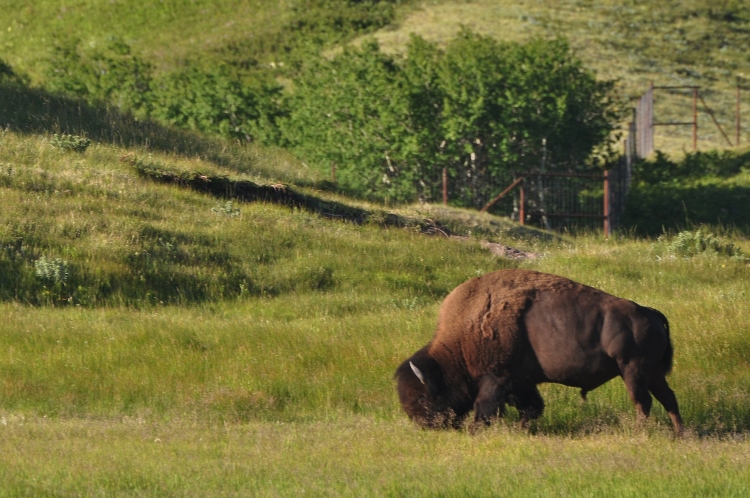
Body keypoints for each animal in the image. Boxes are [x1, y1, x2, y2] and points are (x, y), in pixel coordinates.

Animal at [400, 268, 688, 436]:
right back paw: (680, 434)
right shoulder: (521, 382)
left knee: (643, 402)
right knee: (668, 398)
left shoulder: (495, 379)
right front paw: (523, 430)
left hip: (633, 371)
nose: (423, 425)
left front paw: (476, 430)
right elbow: (531, 407)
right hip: (652, 373)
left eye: (423, 397)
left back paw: (642, 433)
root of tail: (650, 312)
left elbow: (485, 408)